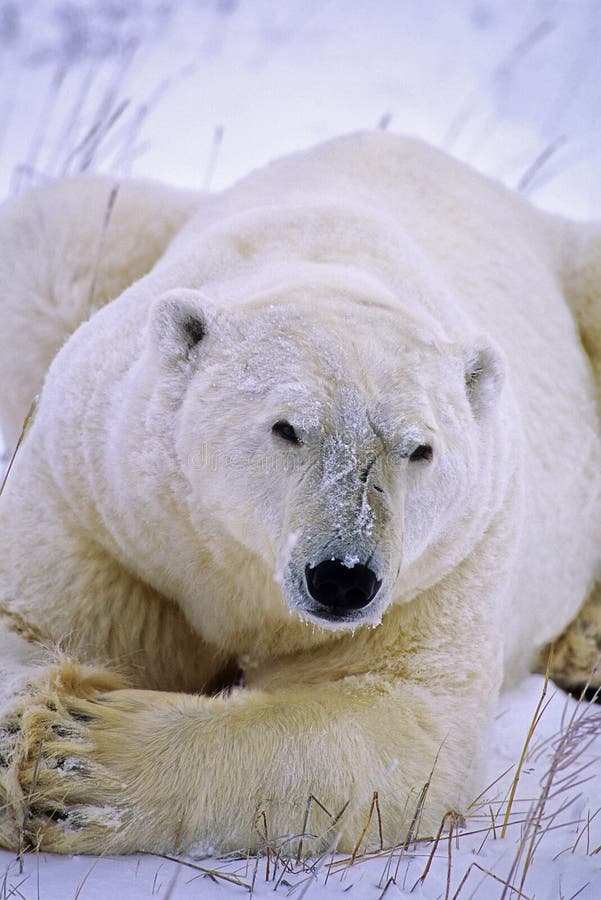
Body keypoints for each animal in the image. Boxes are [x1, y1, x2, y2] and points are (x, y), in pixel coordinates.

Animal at [0, 131, 599, 857]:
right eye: (287, 428)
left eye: (419, 449)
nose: (343, 577)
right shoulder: (100, 504)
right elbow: (34, 623)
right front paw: (32, 737)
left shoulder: (449, 561)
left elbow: (393, 720)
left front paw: (75, 751)